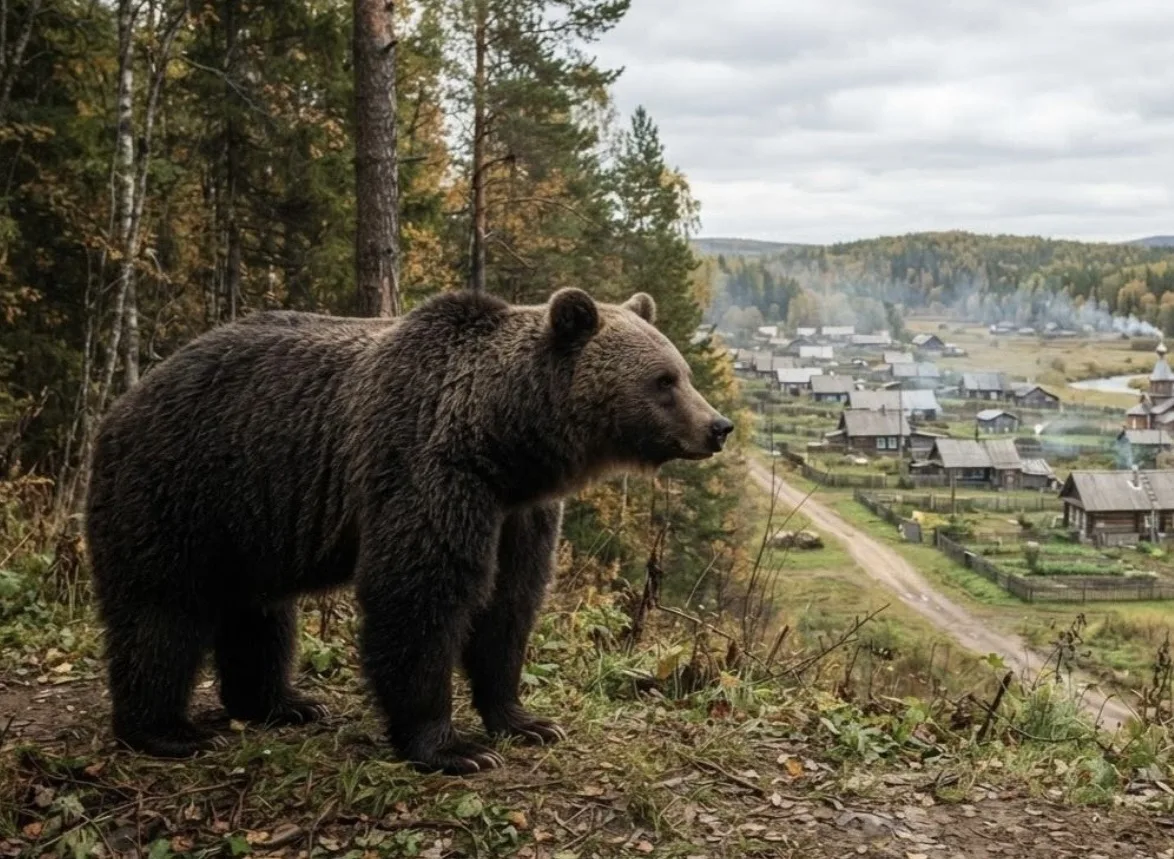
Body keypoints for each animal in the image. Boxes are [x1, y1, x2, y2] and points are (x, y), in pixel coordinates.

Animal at [85, 287, 734, 774]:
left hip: (252, 515)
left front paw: (526, 721)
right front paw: (452, 748)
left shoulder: (518, 514)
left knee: (260, 613)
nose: (718, 426)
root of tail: (125, 401)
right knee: (161, 610)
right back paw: (167, 730)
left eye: (684, 372)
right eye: (663, 380)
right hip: (180, 488)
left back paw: (282, 704)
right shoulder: (428, 469)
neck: (502, 441)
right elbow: (421, 595)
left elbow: (510, 605)